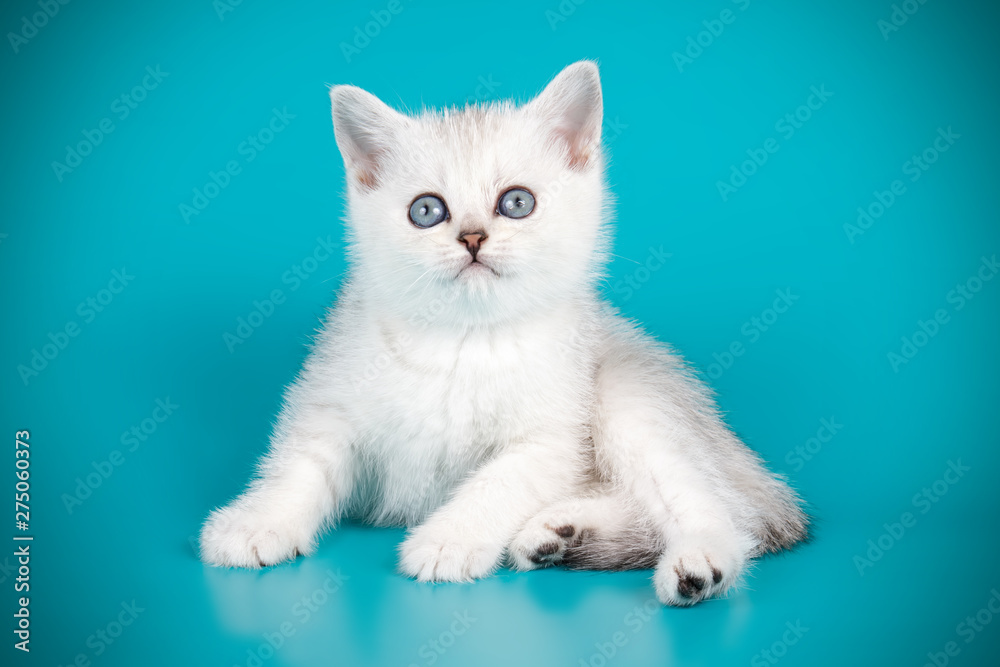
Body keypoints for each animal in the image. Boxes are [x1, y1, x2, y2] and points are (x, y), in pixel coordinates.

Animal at [199, 61, 808, 604]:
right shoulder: (332, 394)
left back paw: (698, 565)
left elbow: (499, 481)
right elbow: (302, 464)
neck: (462, 341)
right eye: (426, 211)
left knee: (718, 506)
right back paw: (558, 534)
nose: (472, 238)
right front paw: (257, 522)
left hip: (628, 391)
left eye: (517, 202)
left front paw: (448, 541)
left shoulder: (551, 435)